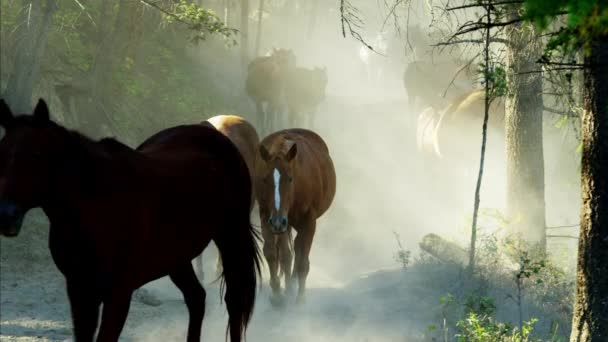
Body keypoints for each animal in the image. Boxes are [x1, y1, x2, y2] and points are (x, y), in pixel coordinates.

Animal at [253, 128, 334, 304]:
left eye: (290, 178)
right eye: (265, 179)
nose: (277, 221)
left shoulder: (309, 222)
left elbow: (303, 261)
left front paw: (300, 298)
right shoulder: (268, 216)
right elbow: (272, 252)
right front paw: (277, 294)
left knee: (298, 249)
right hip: (285, 223)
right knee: (288, 253)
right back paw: (289, 287)